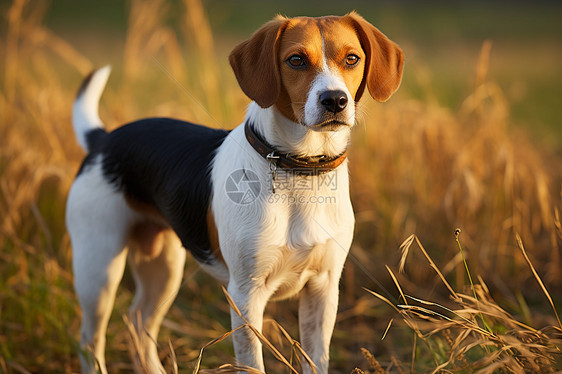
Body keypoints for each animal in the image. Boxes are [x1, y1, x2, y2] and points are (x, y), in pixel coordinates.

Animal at [66, 11, 402, 374]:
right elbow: (252, 362)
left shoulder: (323, 288)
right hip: (98, 269)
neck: (298, 169)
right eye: (296, 60)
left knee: (139, 324)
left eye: (352, 58)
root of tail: (103, 140)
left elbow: (316, 360)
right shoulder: (245, 294)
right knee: (89, 339)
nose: (335, 100)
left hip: (164, 267)